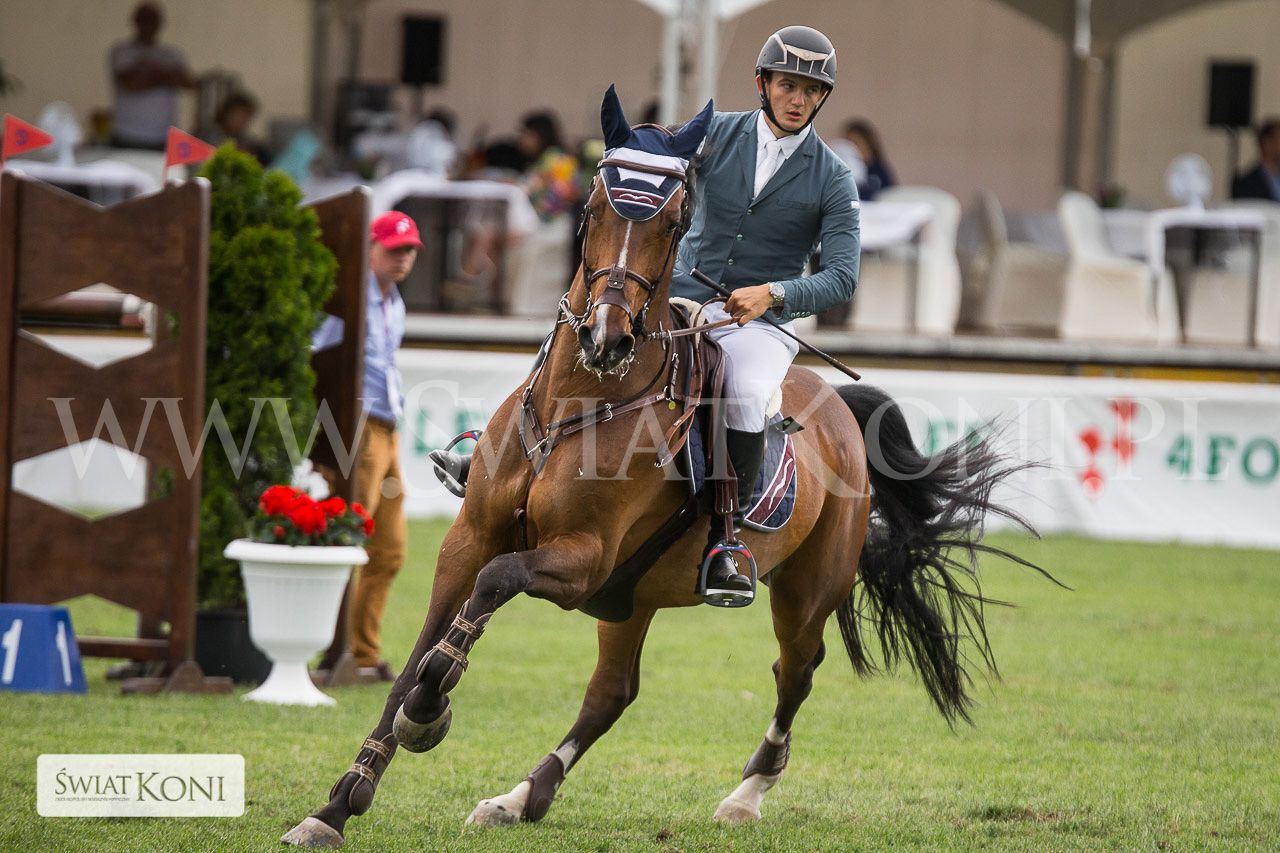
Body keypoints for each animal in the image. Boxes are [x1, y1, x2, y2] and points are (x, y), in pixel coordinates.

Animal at [283, 90, 1052, 848]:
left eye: (676, 217)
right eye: (594, 206)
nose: (606, 338)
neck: (582, 402)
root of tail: (837, 404)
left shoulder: (581, 559)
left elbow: (484, 598)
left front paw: (427, 714)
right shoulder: (470, 540)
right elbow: (424, 646)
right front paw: (336, 805)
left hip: (800, 590)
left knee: (794, 673)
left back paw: (746, 793)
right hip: (631, 593)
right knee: (612, 693)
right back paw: (518, 797)